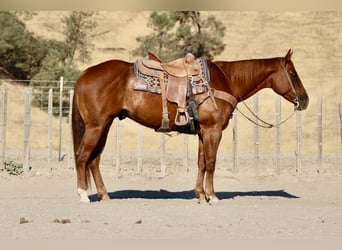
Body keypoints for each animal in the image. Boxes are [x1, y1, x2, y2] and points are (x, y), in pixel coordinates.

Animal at [73, 48, 310, 203]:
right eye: (293, 73)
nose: (305, 100)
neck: (225, 81)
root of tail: (84, 73)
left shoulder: (203, 132)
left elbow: (201, 163)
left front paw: (200, 194)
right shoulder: (213, 130)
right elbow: (211, 162)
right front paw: (212, 196)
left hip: (104, 125)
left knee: (94, 160)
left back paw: (104, 195)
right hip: (96, 126)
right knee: (83, 156)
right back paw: (83, 195)